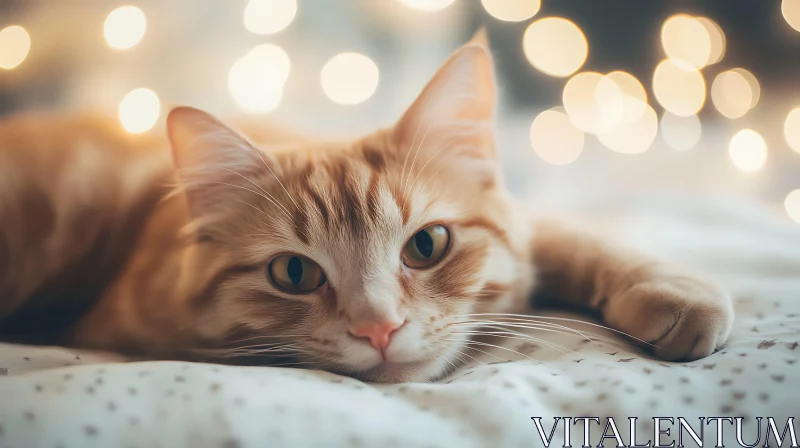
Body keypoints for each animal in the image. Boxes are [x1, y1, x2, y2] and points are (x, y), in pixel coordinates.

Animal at [0, 34, 732, 382]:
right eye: (294, 274)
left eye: (427, 246)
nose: (380, 329)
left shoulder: (527, 226)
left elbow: (569, 238)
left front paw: (674, 292)